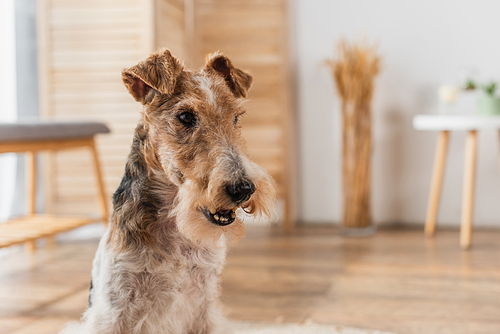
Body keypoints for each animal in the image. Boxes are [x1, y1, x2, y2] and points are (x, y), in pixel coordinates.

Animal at [61, 48, 278, 332]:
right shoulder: (114, 309)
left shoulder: (205, 307)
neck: (174, 226)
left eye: (236, 117)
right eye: (185, 116)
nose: (243, 188)